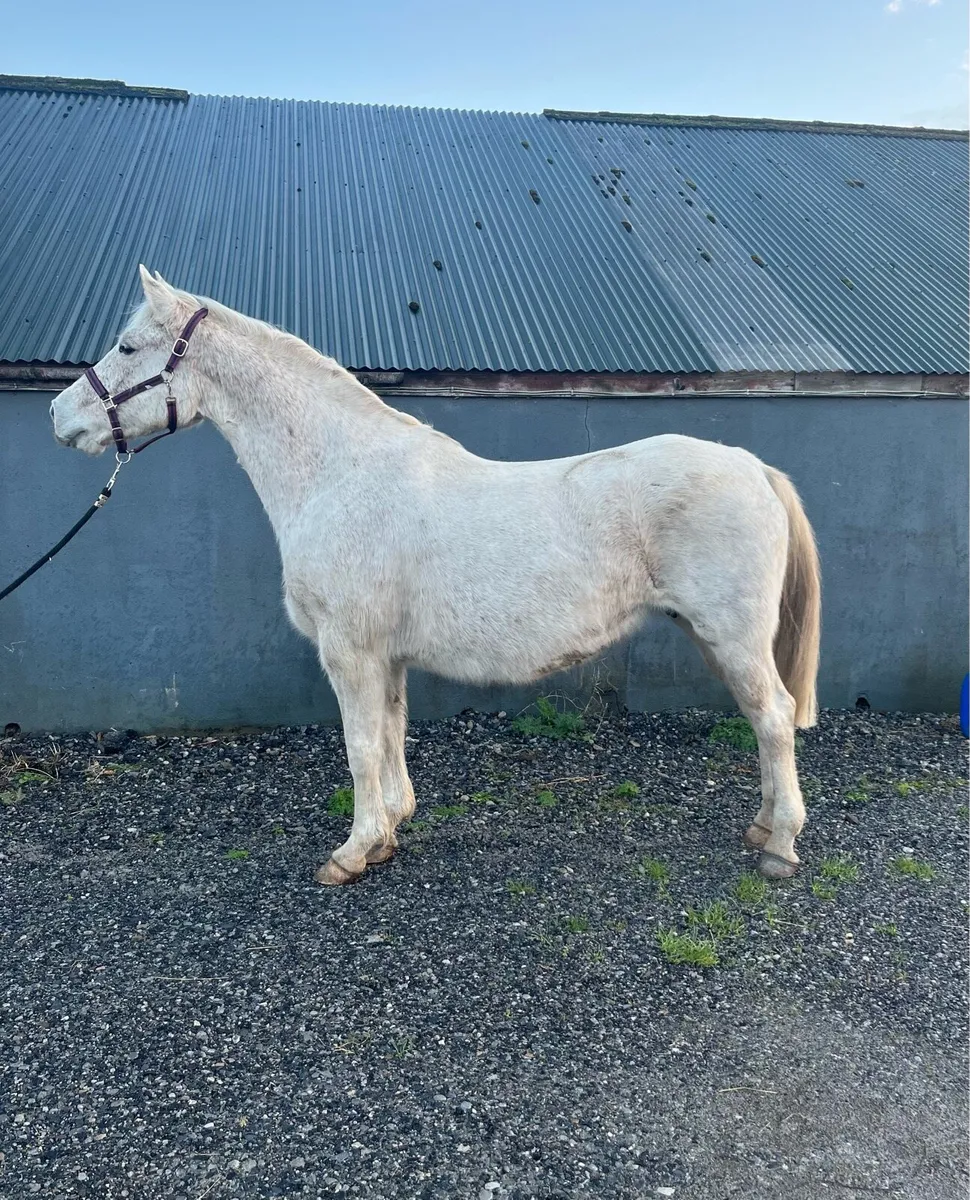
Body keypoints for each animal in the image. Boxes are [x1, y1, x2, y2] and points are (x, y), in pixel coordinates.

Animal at [51, 266, 821, 887]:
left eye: (127, 347)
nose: (59, 416)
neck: (337, 474)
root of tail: (754, 467)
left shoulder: (349, 652)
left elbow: (361, 747)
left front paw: (351, 853)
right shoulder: (386, 657)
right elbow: (391, 736)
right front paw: (390, 830)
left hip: (732, 637)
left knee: (774, 717)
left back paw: (778, 847)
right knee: (764, 720)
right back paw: (761, 826)